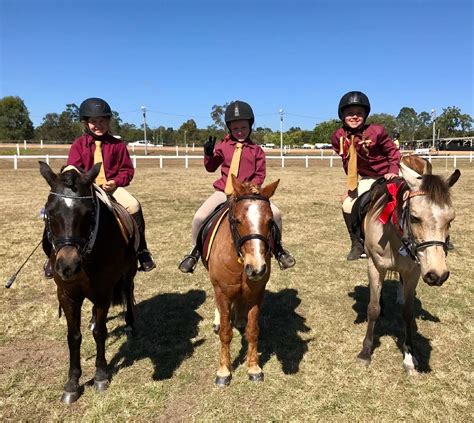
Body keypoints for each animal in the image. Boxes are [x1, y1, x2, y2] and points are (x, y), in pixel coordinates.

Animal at [39, 162, 137, 404]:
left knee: (129, 291)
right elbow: (73, 337)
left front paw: (101, 375)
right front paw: (72, 383)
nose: (68, 265)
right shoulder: (67, 295)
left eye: (88, 212)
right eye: (50, 212)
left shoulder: (103, 293)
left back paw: (130, 324)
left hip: (129, 272)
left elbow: (100, 332)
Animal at [208, 176, 282, 388]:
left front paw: (254, 368)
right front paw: (224, 371)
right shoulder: (222, 292)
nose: (257, 268)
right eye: (237, 220)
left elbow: (253, 330)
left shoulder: (257, 294)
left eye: (270, 221)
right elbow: (226, 332)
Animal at [360, 157, 460, 376]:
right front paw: (365, 352)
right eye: (415, 217)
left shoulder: (414, 272)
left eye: (451, 219)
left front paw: (409, 356)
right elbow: (373, 308)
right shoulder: (374, 266)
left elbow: (407, 311)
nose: (438, 275)